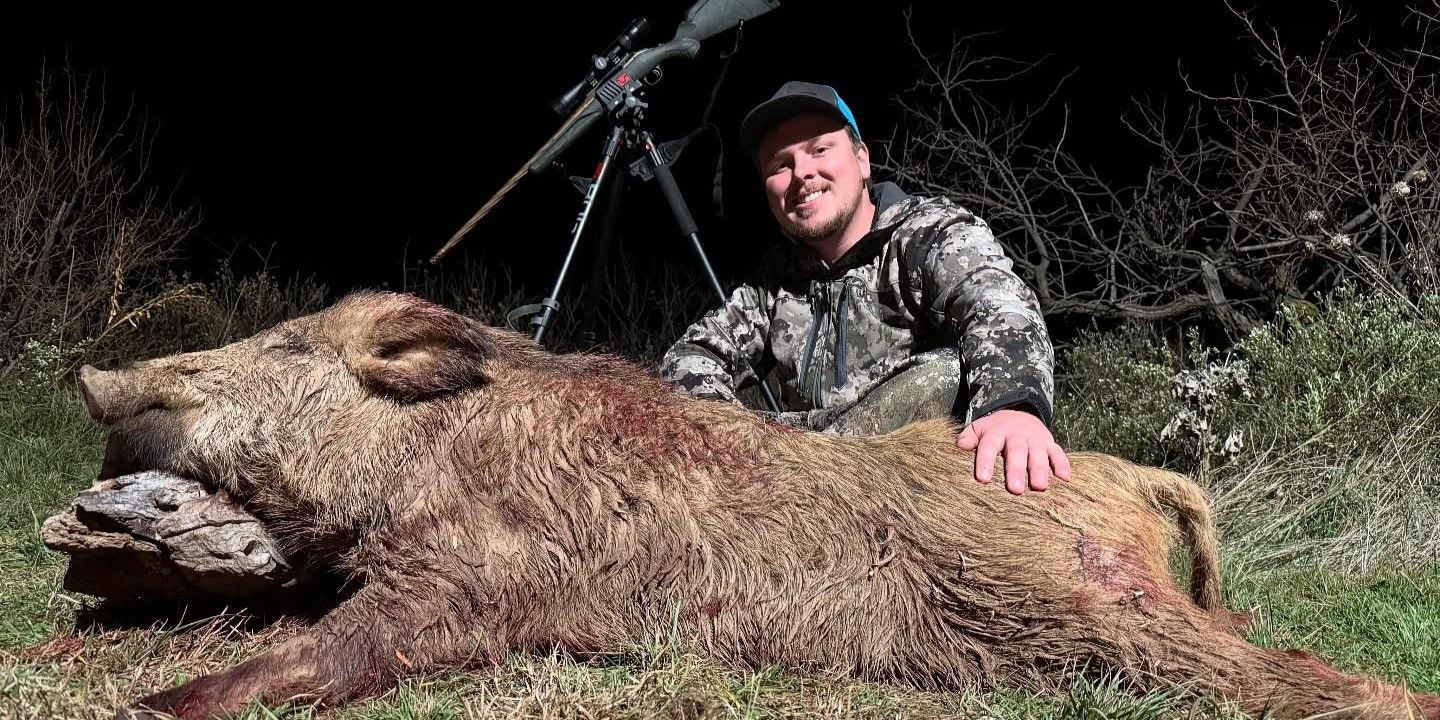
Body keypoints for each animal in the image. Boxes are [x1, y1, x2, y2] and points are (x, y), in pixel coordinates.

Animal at [75, 291, 1436, 720]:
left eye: (289, 346)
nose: (94, 375)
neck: (433, 454)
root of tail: (1141, 478)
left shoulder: (480, 586)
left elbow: (329, 652)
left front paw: (145, 706)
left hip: (1089, 608)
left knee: (1303, 675)